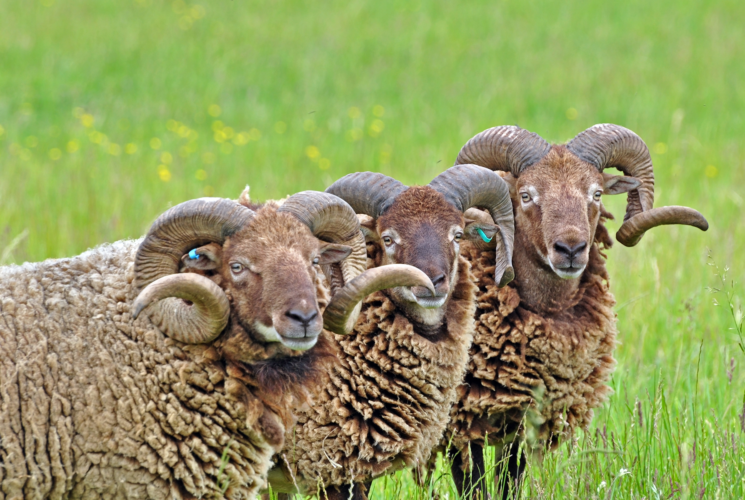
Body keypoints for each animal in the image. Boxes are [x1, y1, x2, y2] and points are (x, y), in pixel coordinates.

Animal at [442, 124, 709, 498]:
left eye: (596, 193)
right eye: (526, 195)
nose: (571, 249)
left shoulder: (525, 416)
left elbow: (509, 479)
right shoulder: (459, 417)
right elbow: (472, 485)